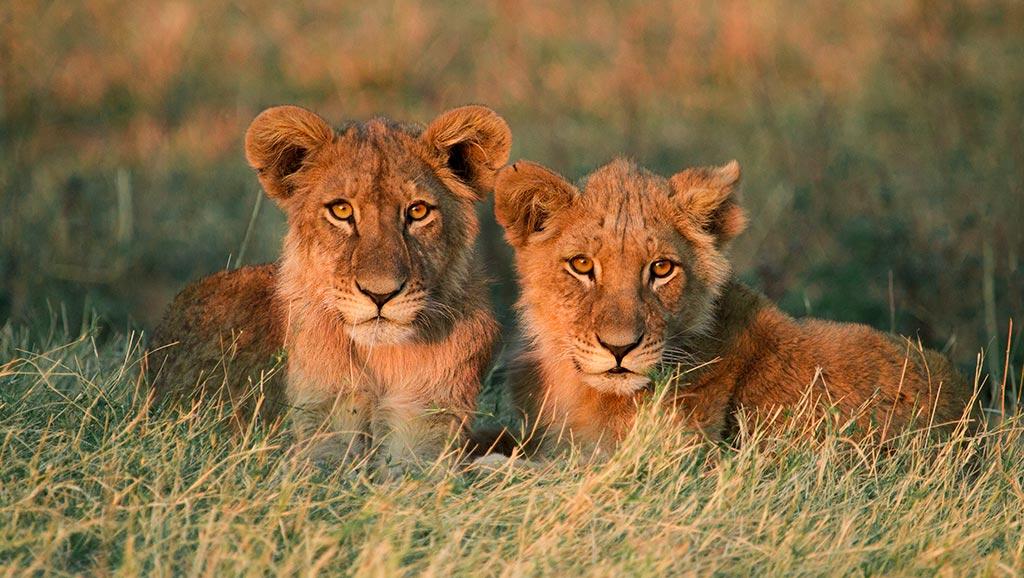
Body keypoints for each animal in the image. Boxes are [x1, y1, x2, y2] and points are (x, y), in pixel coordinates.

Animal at [149, 104, 511, 472]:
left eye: (418, 211)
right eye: (341, 210)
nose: (380, 294)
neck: (381, 362)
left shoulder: (425, 422)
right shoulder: (320, 427)